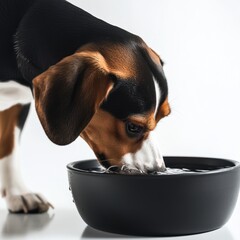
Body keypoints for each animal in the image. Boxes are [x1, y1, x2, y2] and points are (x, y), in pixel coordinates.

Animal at [0, 0, 170, 214]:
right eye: (133, 127)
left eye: (162, 118)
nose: (157, 171)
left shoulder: (19, 103)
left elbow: (10, 147)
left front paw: (18, 193)